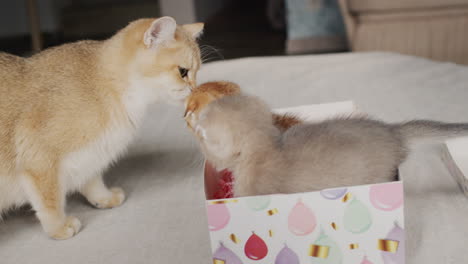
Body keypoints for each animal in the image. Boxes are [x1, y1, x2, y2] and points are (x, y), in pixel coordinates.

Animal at [0, 16, 205, 239]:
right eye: (183, 72)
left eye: (197, 72)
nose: (195, 91)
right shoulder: (39, 158)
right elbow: (49, 201)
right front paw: (59, 227)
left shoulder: (90, 154)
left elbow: (91, 178)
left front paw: (104, 197)